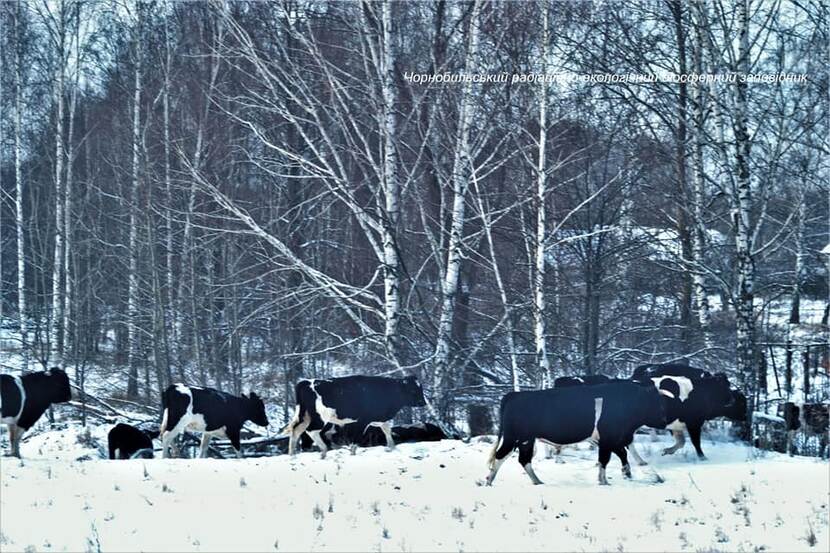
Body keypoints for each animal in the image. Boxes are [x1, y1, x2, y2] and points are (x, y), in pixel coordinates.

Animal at [286, 376, 428, 458]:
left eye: (420, 387)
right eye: (412, 389)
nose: (423, 402)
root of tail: (306, 382)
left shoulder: (379, 418)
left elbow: (387, 430)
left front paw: (392, 448)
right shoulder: (362, 421)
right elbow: (356, 439)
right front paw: (353, 453)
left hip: (305, 416)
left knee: (297, 430)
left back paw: (293, 455)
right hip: (320, 417)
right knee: (310, 431)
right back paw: (324, 450)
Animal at [488, 382, 668, 486]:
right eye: (655, 402)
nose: (664, 420)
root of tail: (515, 394)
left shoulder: (610, 440)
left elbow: (620, 454)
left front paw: (626, 473)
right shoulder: (609, 438)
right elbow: (606, 459)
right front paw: (604, 481)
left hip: (526, 440)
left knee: (523, 460)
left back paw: (537, 481)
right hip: (515, 438)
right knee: (501, 455)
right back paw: (489, 481)